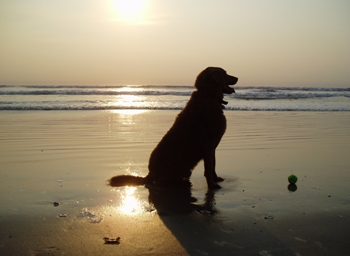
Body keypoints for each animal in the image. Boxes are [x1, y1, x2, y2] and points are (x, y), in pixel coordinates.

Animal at [109, 67, 238, 189]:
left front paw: (216, 179)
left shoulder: (213, 147)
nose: (237, 78)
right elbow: (208, 168)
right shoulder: (209, 145)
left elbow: (213, 165)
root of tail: (149, 174)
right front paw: (212, 185)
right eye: (224, 73)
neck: (208, 95)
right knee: (160, 182)